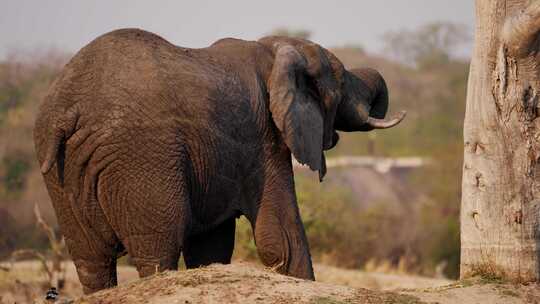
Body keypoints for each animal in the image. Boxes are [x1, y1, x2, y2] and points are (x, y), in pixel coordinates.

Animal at [32, 29, 404, 294]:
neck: (275, 49)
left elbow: (210, 246)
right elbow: (279, 237)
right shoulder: (263, 138)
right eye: (340, 80)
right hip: (140, 158)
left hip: (59, 173)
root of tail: (67, 108)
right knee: (158, 247)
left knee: (90, 259)